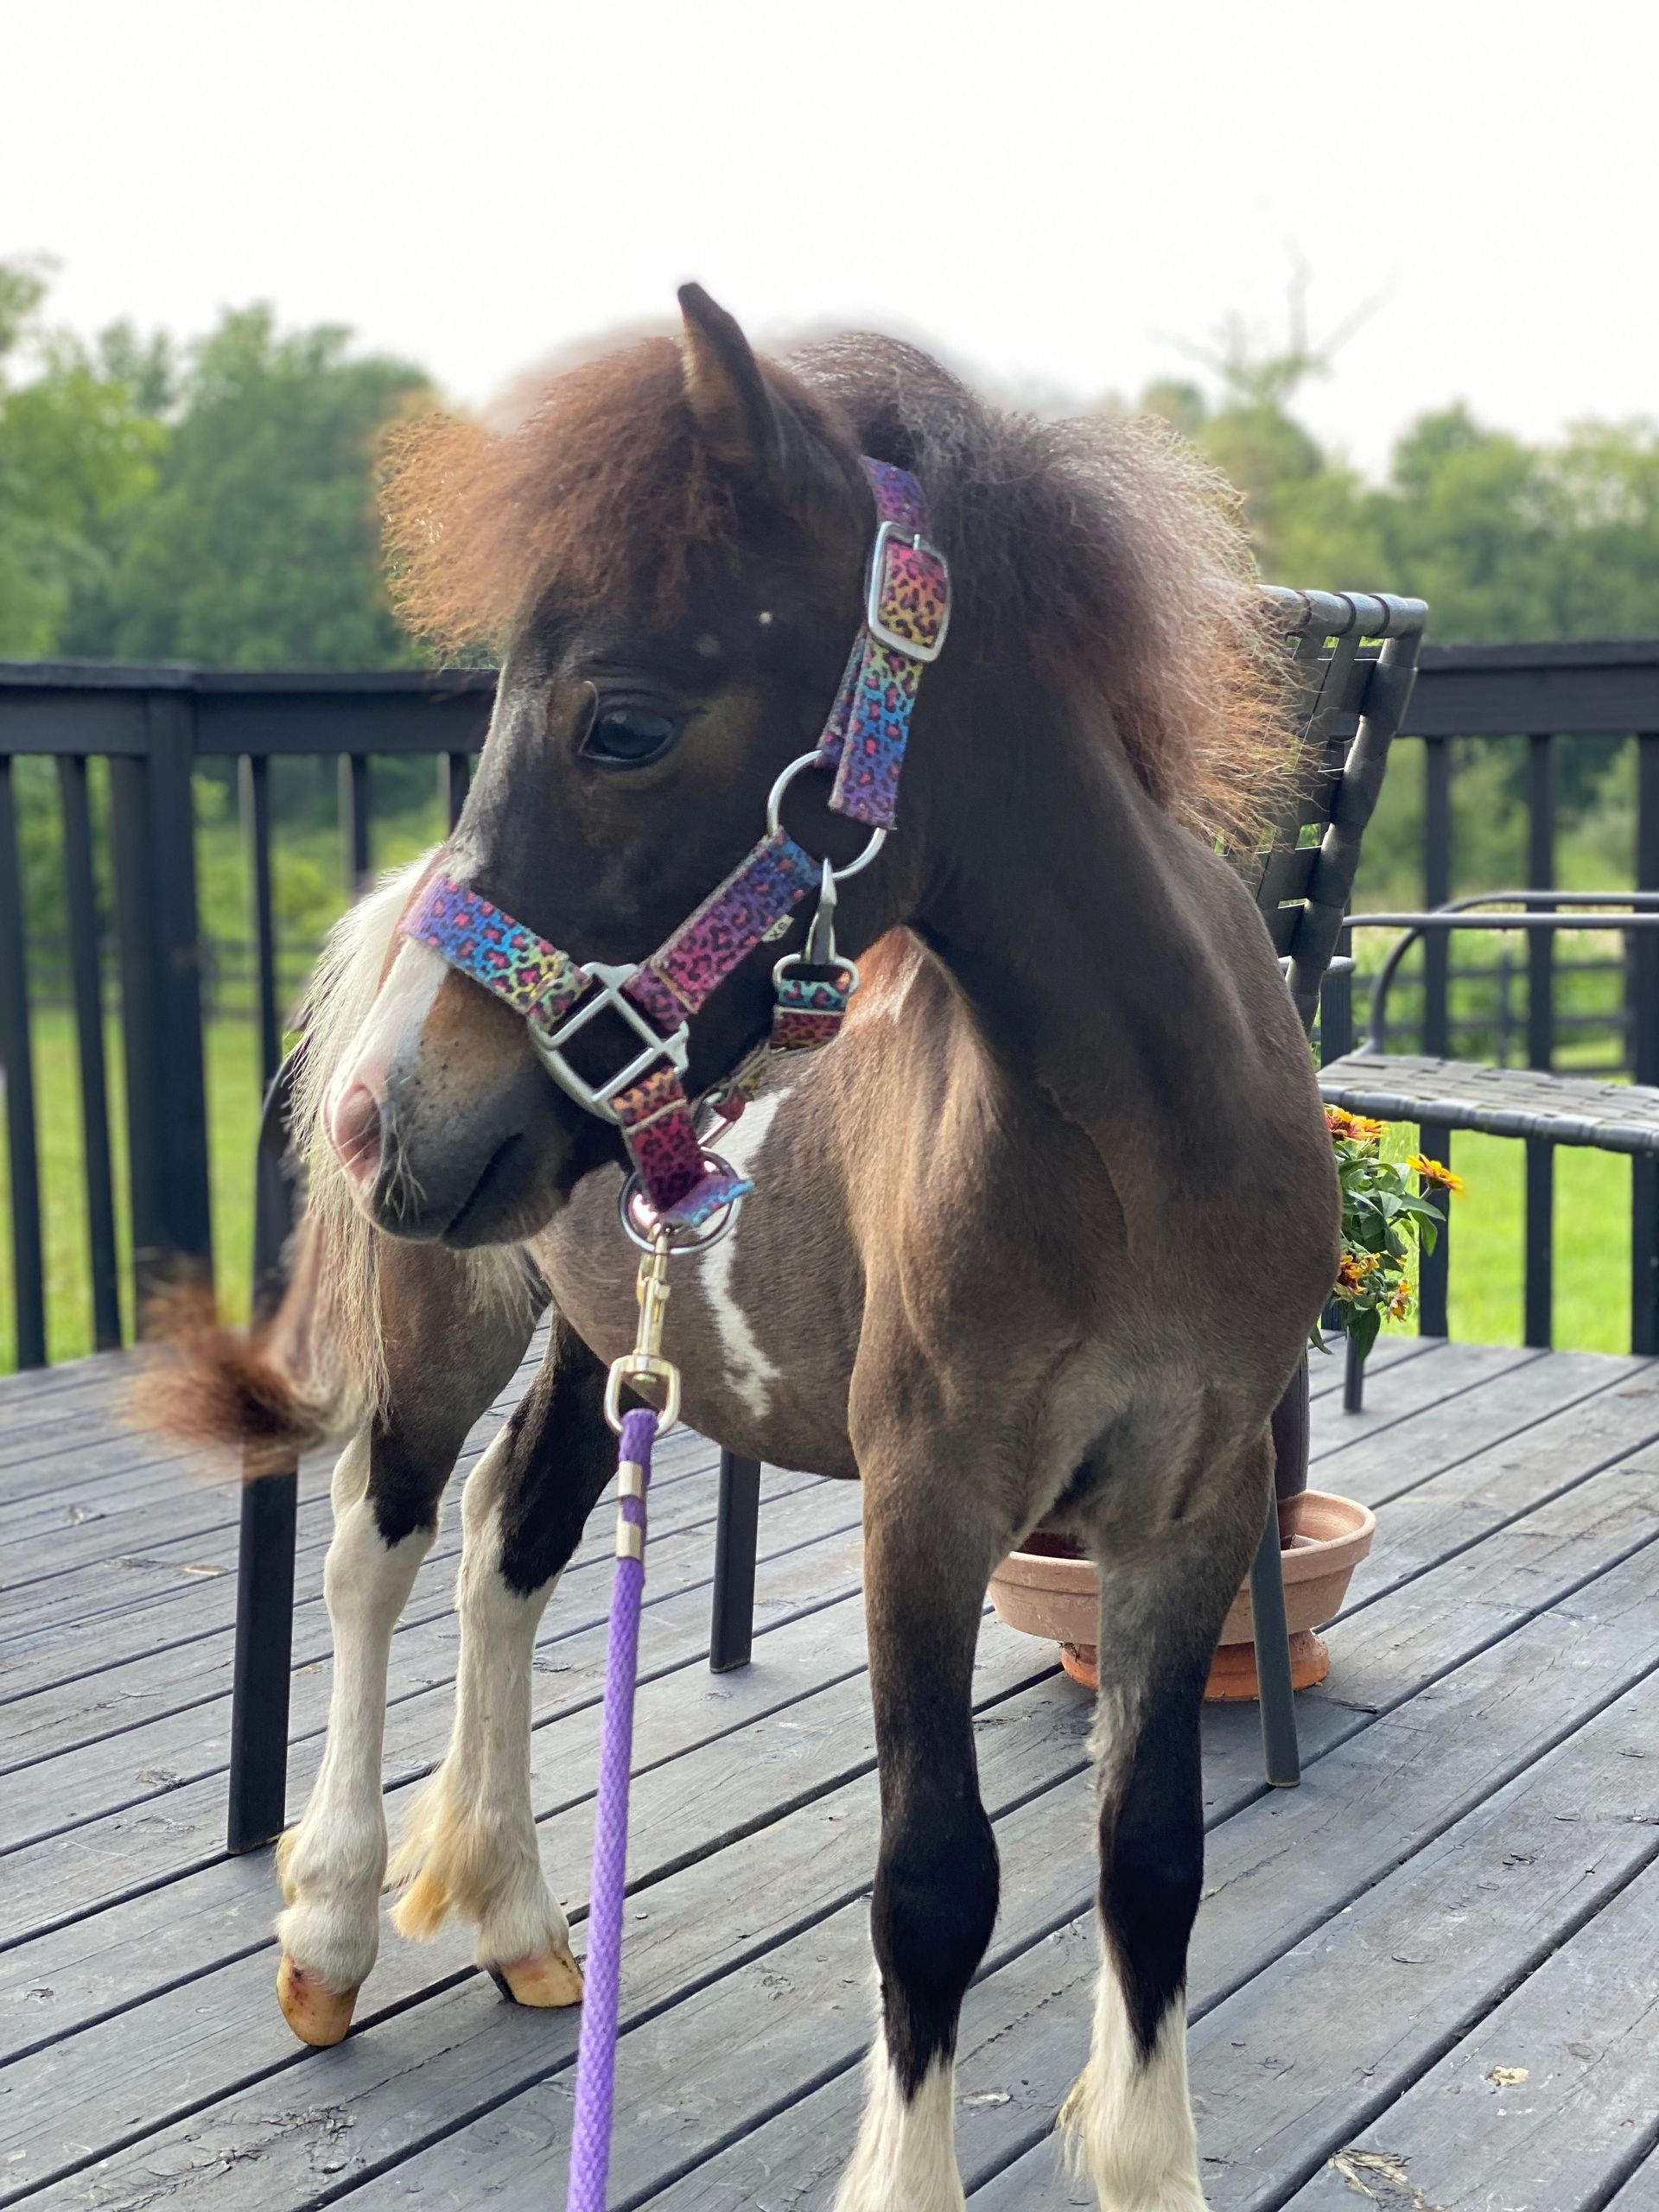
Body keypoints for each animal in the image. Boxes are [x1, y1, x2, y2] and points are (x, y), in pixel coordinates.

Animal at [166, 294, 1336, 2212]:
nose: (376, 1116)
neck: (1138, 1148)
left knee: (513, 1541)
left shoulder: (1195, 1496)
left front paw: (1148, 2163)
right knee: (376, 1543)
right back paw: (328, 1930)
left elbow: (1152, 1855)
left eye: (625, 723)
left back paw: (523, 1920)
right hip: (449, 1312)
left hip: (599, 1335)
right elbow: (933, 1885)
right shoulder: (923, 1494)